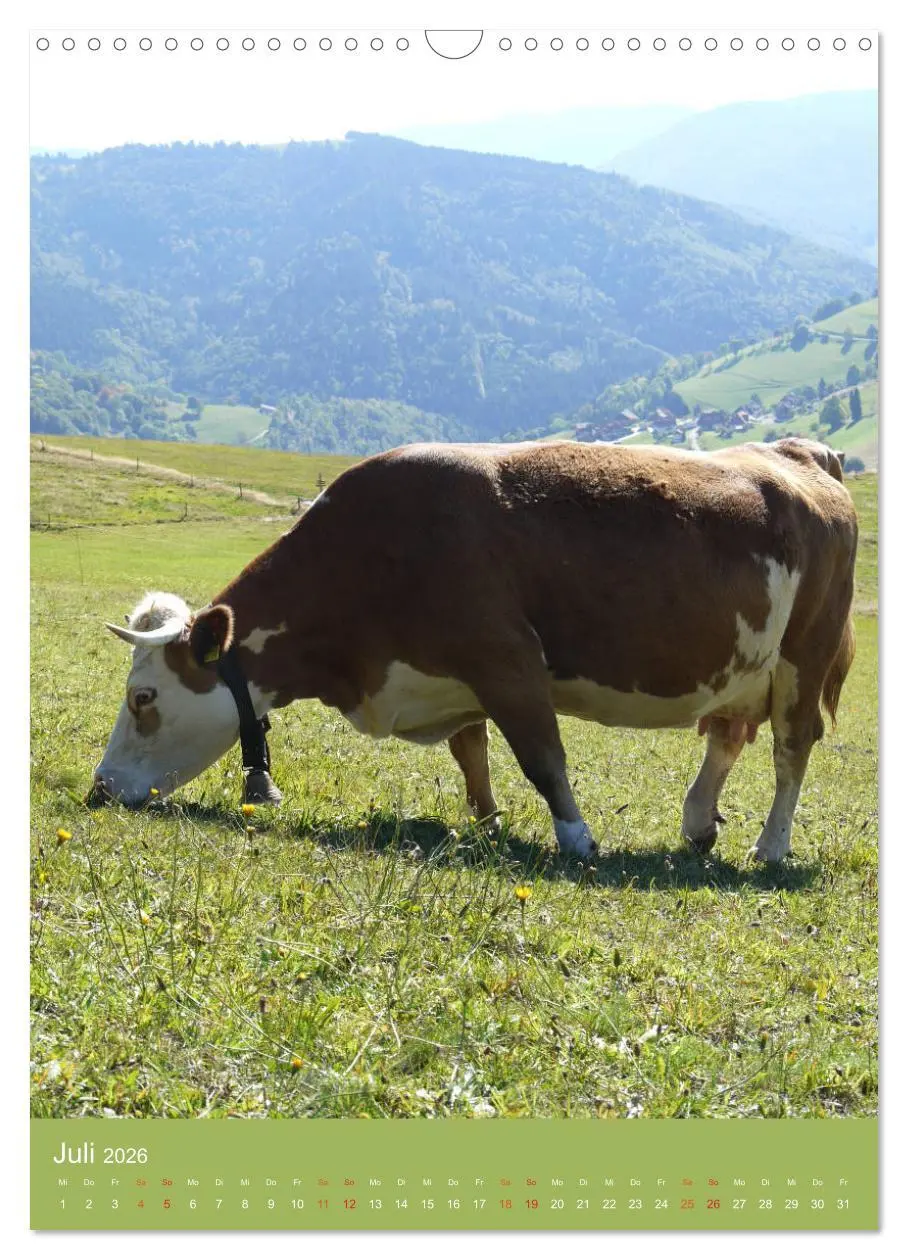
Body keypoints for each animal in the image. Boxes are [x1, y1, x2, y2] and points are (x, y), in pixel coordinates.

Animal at [90, 436, 857, 863]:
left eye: (143, 697)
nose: (98, 789)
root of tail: (797, 454)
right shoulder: (453, 675)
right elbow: (471, 751)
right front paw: (487, 822)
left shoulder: (506, 658)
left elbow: (542, 756)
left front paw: (576, 840)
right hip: (744, 664)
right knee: (727, 736)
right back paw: (698, 823)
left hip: (804, 656)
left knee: (791, 751)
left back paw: (771, 846)